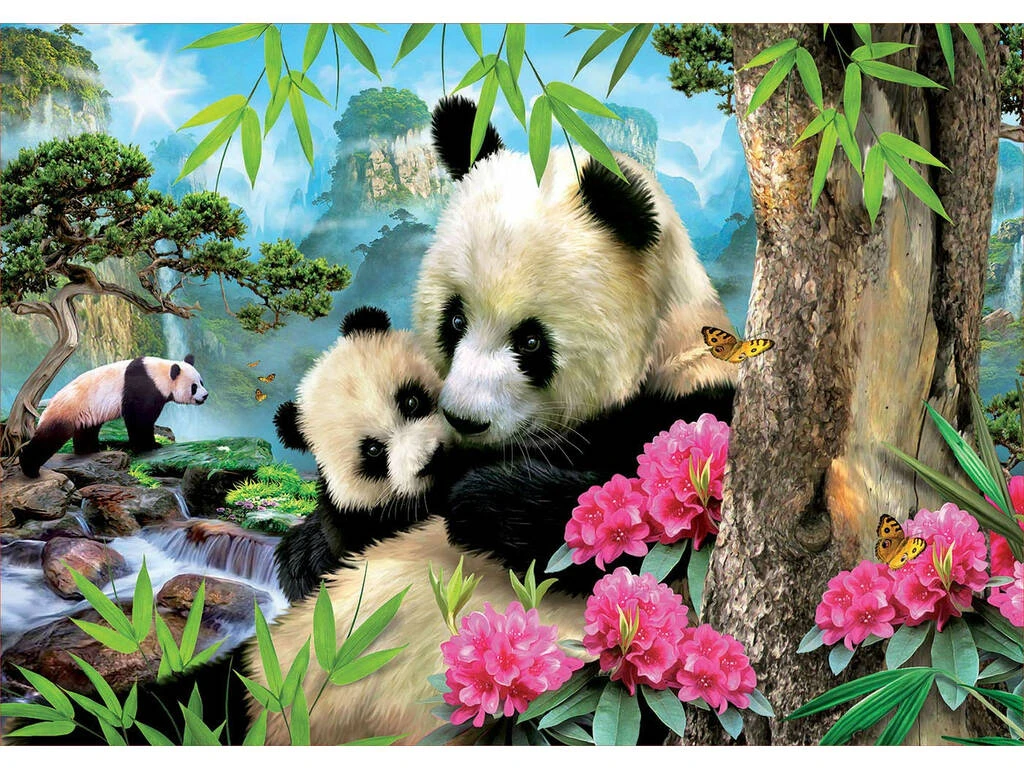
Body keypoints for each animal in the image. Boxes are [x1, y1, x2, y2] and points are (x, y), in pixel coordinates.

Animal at [19, 355, 208, 478]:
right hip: (67, 410)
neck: (159, 373)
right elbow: (139, 419)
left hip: (86, 412)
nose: (205, 395)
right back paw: (30, 468)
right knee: (50, 437)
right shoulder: (143, 387)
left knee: (87, 430)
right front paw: (151, 446)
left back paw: (90, 450)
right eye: (194, 387)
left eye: (201, 382)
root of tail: (48, 405)